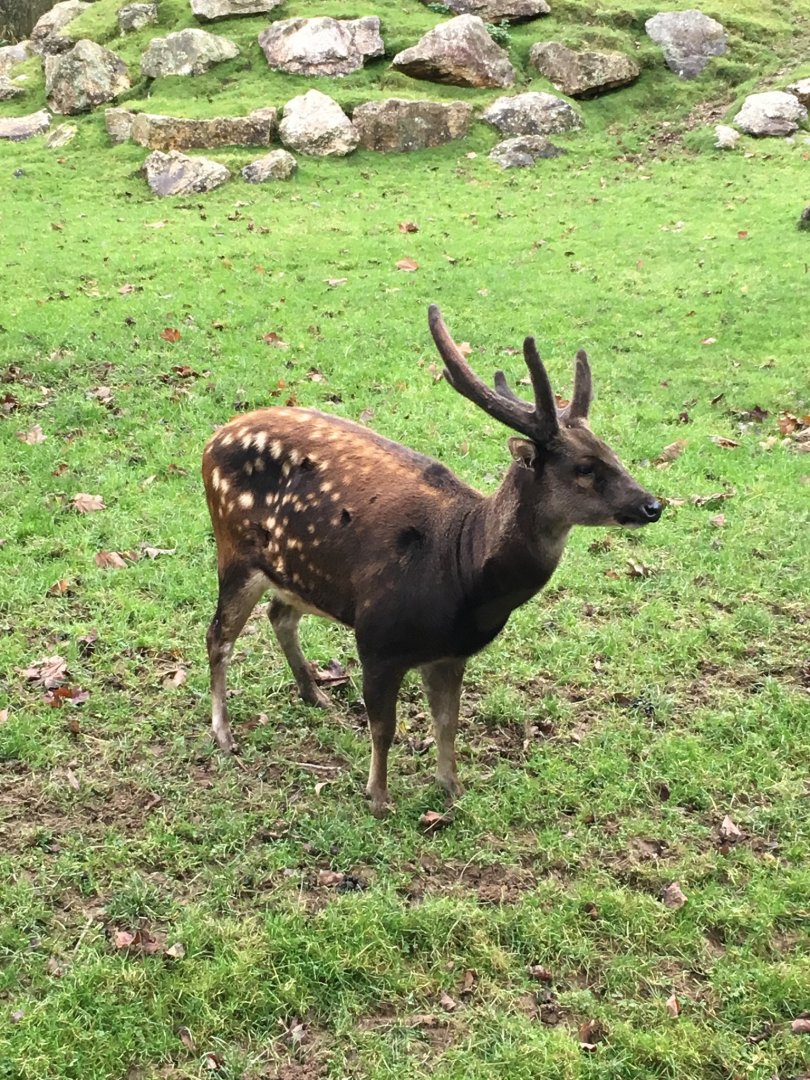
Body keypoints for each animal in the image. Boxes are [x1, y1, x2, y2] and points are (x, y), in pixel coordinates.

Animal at [203, 305, 662, 817]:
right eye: (584, 468)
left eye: (613, 452)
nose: (653, 505)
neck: (460, 572)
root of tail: (210, 440)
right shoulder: (376, 638)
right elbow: (384, 727)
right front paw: (379, 798)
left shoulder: (451, 652)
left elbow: (447, 721)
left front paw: (451, 788)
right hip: (234, 550)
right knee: (218, 635)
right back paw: (224, 735)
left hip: (296, 570)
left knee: (279, 613)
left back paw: (315, 694)